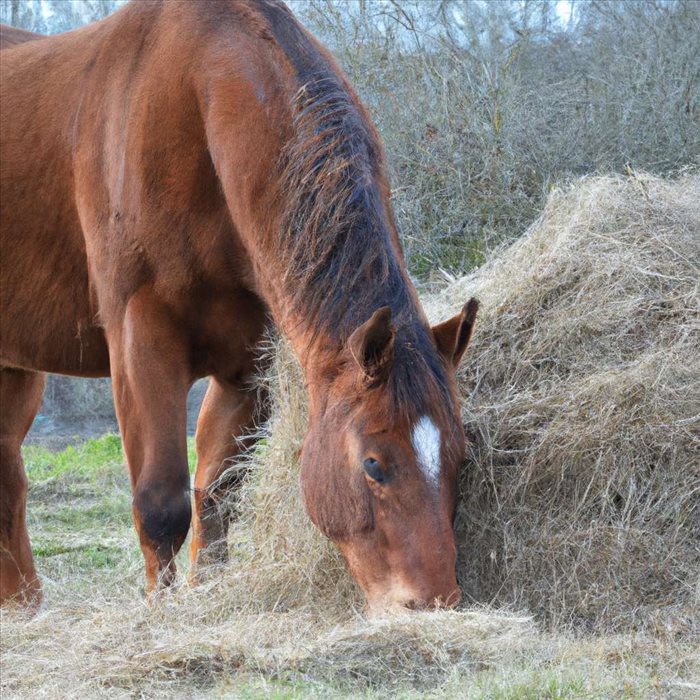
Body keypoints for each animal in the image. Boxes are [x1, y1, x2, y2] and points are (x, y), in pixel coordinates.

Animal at [0, 0, 478, 614]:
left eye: (460, 457)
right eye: (374, 462)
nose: (435, 601)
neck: (197, 102)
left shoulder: (247, 369)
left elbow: (218, 493)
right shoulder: (140, 345)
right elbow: (161, 504)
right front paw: (161, 613)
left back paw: (25, 607)